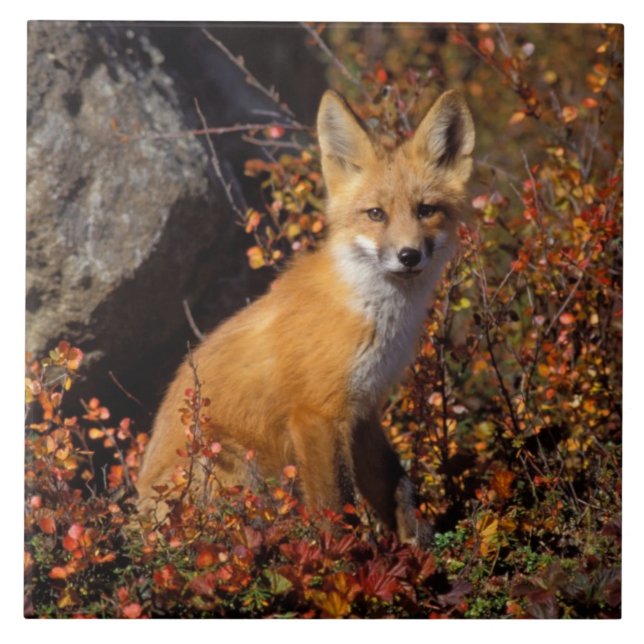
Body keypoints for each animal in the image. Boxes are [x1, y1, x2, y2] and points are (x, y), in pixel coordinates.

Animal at [136, 88, 475, 545]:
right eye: (376, 214)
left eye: (426, 210)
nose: (408, 255)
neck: (374, 315)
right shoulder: (317, 414)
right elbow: (338, 508)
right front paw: (351, 558)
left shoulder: (363, 411)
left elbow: (398, 487)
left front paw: (418, 546)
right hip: (235, 467)